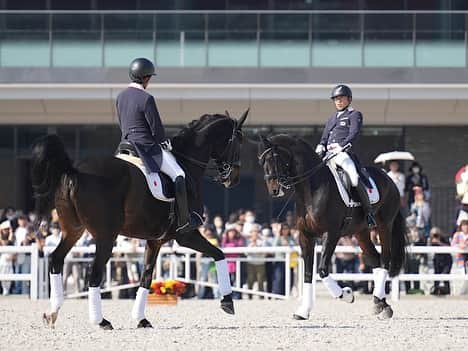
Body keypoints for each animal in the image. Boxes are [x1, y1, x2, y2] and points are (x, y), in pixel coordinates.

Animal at [31, 111, 250, 332]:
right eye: (238, 140)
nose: (234, 178)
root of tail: (74, 170)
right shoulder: (186, 235)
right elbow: (219, 254)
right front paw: (227, 302)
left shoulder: (155, 240)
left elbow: (146, 276)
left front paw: (141, 319)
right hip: (106, 237)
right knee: (94, 274)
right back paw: (101, 321)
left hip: (73, 230)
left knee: (56, 259)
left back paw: (52, 313)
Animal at [258, 135, 404, 322]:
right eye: (262, 161)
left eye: (275, 158)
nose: (274, 190)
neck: (312, 190)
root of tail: (389, 179)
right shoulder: (305, 235)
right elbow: (308, 273)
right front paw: (303, 311)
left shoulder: (331, 234)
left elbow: (322, 270)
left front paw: (347, 294)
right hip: (361, 232)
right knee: (375, 259)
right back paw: (381, 303)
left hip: (385, 226)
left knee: (385, 259)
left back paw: (381, 303)